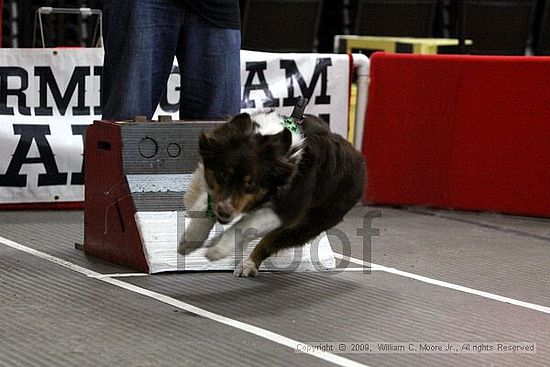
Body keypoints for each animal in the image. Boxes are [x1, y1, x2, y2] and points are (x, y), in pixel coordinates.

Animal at [178, 110, 366, 278]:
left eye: (251, 183)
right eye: (223, 174)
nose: (224, 212)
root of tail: (358, 158)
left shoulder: (288, 209)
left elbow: (245, 226)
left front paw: (218, 248)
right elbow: (205, 205)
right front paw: (191, 238)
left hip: (309, 224)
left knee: (269, 242)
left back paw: (248, 264)